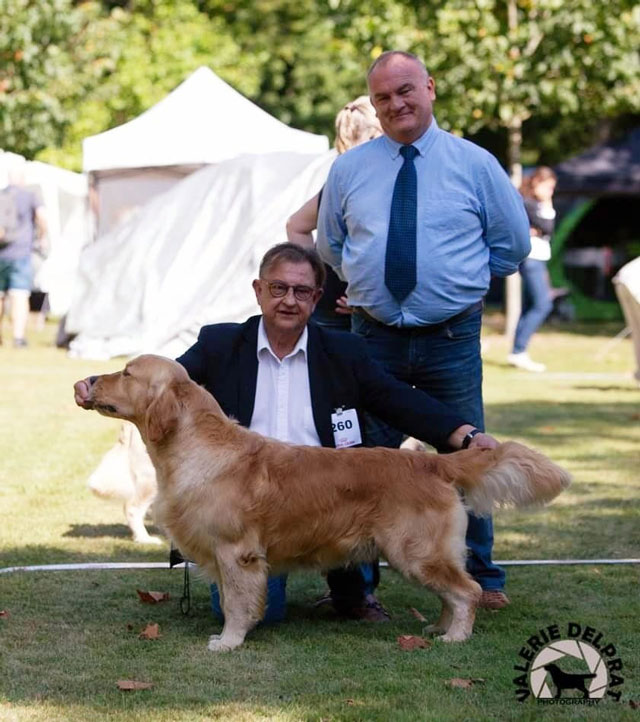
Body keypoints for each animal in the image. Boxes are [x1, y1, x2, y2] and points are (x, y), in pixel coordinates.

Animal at [74, 358, 568, 648]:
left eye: (127, 372)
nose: (88, 381)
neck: (196, 447)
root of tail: (431, 462)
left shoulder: (237, 553)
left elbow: (236, 603)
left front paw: (228, 641)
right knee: (454, 591)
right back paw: (438, 627)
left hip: (416, 551)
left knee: (468, 591)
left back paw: (455, 638)